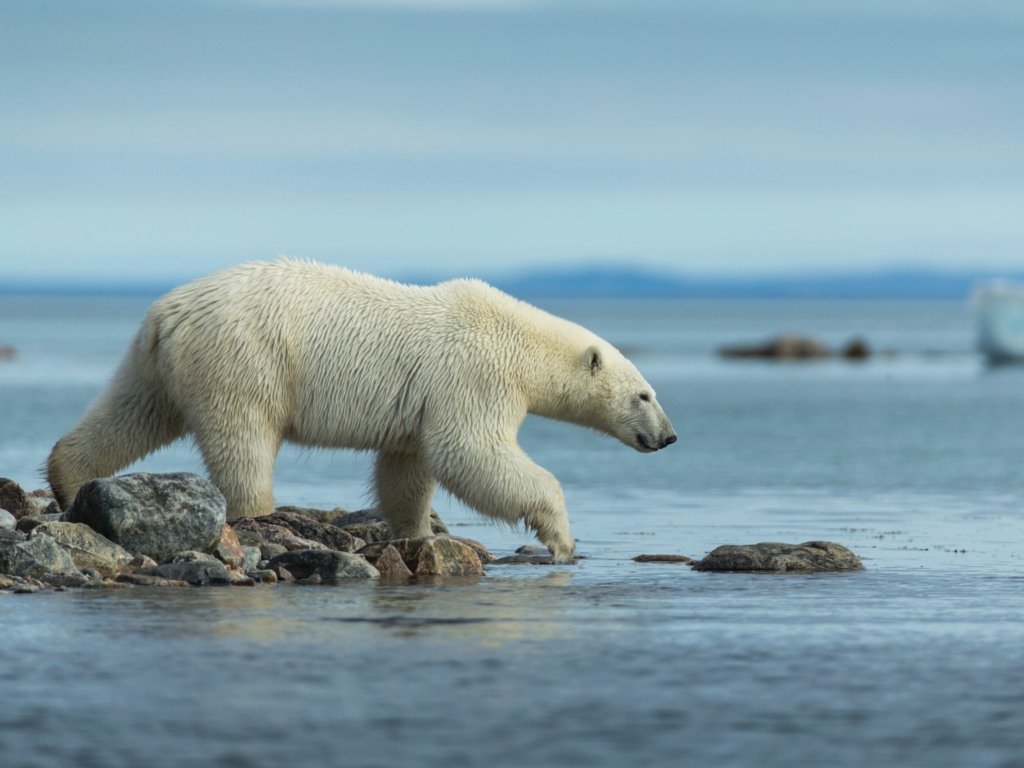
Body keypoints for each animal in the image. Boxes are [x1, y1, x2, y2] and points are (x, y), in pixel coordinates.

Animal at [47, 258, 676, 560]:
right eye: (645, 394)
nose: (668, 437)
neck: (520, 341)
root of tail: (167, 312)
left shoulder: (423, 401)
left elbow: (408, 466)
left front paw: (418, 533)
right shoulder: (473, 376)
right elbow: (471, 452)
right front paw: (562, 540)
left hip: (159, 361)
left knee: (133, 411)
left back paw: (68, 477)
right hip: (245, 359)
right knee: (243, 439)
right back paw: (262, 516)